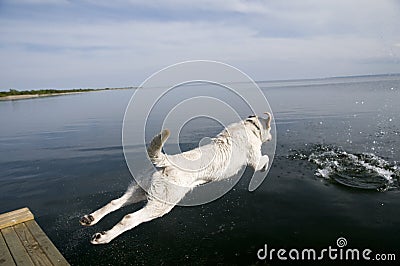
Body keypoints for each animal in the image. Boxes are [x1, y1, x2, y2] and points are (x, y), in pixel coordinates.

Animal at [81, 112, 274, 243]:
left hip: (141, 190)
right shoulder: (255, 160)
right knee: (129, 218)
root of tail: (166, 162)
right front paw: (265, 168)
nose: (271, 137)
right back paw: (103, 237)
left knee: (115, 203)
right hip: (162, 204)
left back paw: (90, 219)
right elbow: (264, 160)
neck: (250, 127)